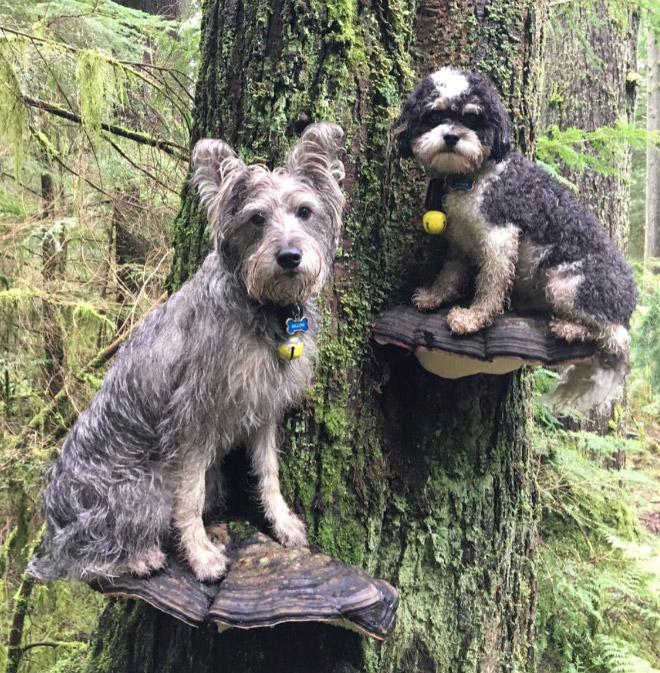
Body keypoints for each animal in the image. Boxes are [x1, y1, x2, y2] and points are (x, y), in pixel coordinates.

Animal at [27, 122, 346, 584]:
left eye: (304, 211)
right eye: (256, 218)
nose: (290, 256)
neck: (263, 310)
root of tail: (54, 522)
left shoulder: (264, 409)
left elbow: (268, 473)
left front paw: (282, 523)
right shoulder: (190, 423)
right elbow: (190, 498)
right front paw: (200, 555)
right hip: (142, 489)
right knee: (88, 558)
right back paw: (138, 557)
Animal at [394, 69, 636, 414]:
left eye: (472, 118)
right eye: (435, 115)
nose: (452, 136)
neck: (472, 178)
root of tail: (630, 301)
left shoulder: (500, 236)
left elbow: (491, 284)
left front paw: (473, 318)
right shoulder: (461, 242)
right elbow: (450, 275)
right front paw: (433, 297)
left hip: (568, 284)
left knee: (613, 336)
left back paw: (571, 327)